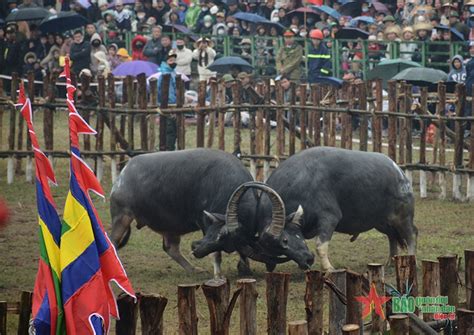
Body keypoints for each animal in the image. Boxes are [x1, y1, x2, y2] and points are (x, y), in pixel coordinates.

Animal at [109, 150, 258, 278]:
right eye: (221, 237)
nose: (195, 247)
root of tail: (122, 176)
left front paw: (245, 270)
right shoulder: (205, 223)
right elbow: (216, 254)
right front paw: (218, 275)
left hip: (170, 227)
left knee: (171, 248)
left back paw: (194, 269)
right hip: (122, 217)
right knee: (113, 242)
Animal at [191, 148, 416, 272]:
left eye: (284, 240)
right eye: (280, 250)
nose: (306, 261)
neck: (302, 182)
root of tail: (398, 170)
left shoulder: (329, 218)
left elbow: (320, 244)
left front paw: (329, 268)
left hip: (402, 216)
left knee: (411, 234)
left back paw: (410, 260)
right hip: (381, 221)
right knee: (393, 237)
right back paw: (390, 262)